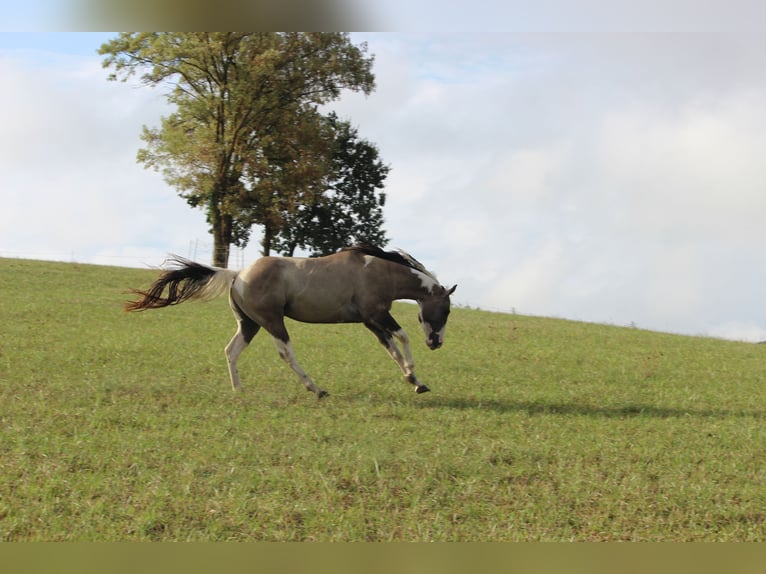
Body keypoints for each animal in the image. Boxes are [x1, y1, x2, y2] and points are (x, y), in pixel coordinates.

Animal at [125, 245, 456, 399]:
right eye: (447, 310)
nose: (436, 342)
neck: (376, 271)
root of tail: (237, 274)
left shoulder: (370, 322)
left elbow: (392, 350)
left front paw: (415, 382)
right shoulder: (377, 315)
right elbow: (403, 338)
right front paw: (415, 376)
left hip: (250, 324)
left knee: (231, 351)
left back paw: (238, 389)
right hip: (272, 321)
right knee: (285, 352)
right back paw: (316, 389)